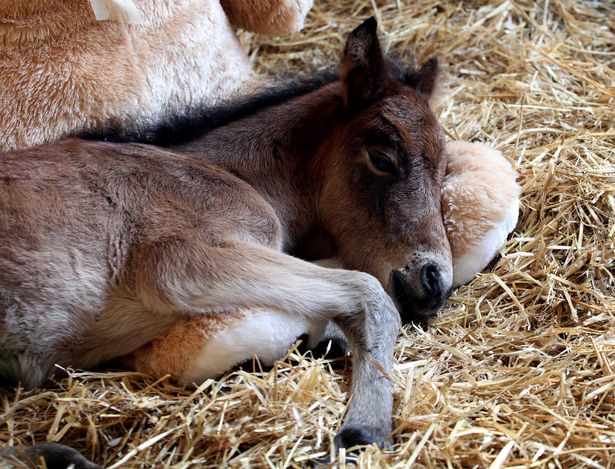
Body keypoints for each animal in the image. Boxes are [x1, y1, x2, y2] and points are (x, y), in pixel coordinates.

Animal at [0, 19, 452, 450]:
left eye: (445, 171)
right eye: (382, 159)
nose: (434, 281)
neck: (231, 174)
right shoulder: (181, 262)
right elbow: (369, 293)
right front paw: (365, 428)